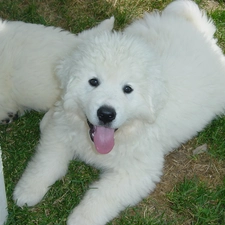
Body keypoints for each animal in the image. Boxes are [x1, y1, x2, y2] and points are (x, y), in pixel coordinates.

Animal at [13, 0, 225, 225]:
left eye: (128, 89)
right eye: (93, 81)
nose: (106, 114)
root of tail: (201, 32)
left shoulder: (137, 172)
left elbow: (102, 195)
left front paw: (81, 218)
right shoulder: (60, 134)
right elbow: (46, 162)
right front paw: (28, 189)